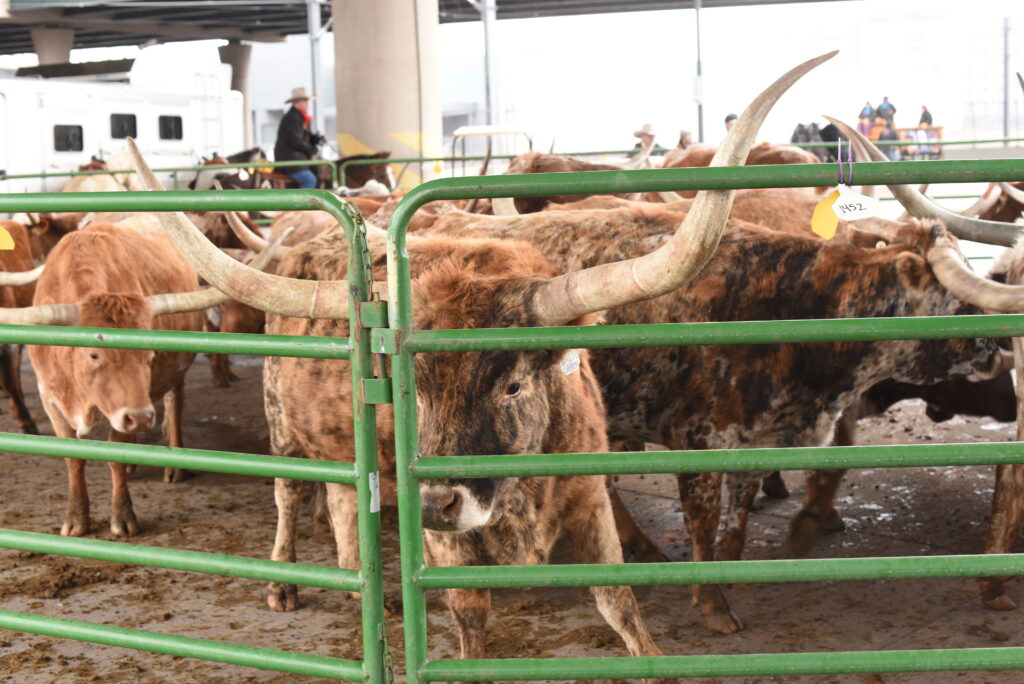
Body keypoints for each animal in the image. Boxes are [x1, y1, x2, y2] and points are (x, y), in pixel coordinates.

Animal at [131, 51, 836, 669]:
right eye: (409, 391)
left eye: (513, 386)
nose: (435, 502)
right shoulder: (448, 544)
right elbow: (471, 617)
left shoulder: (590, 497)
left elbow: (620, 603)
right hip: (282, 425)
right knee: (287, 493)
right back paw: (283, 580)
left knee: (340, 502)